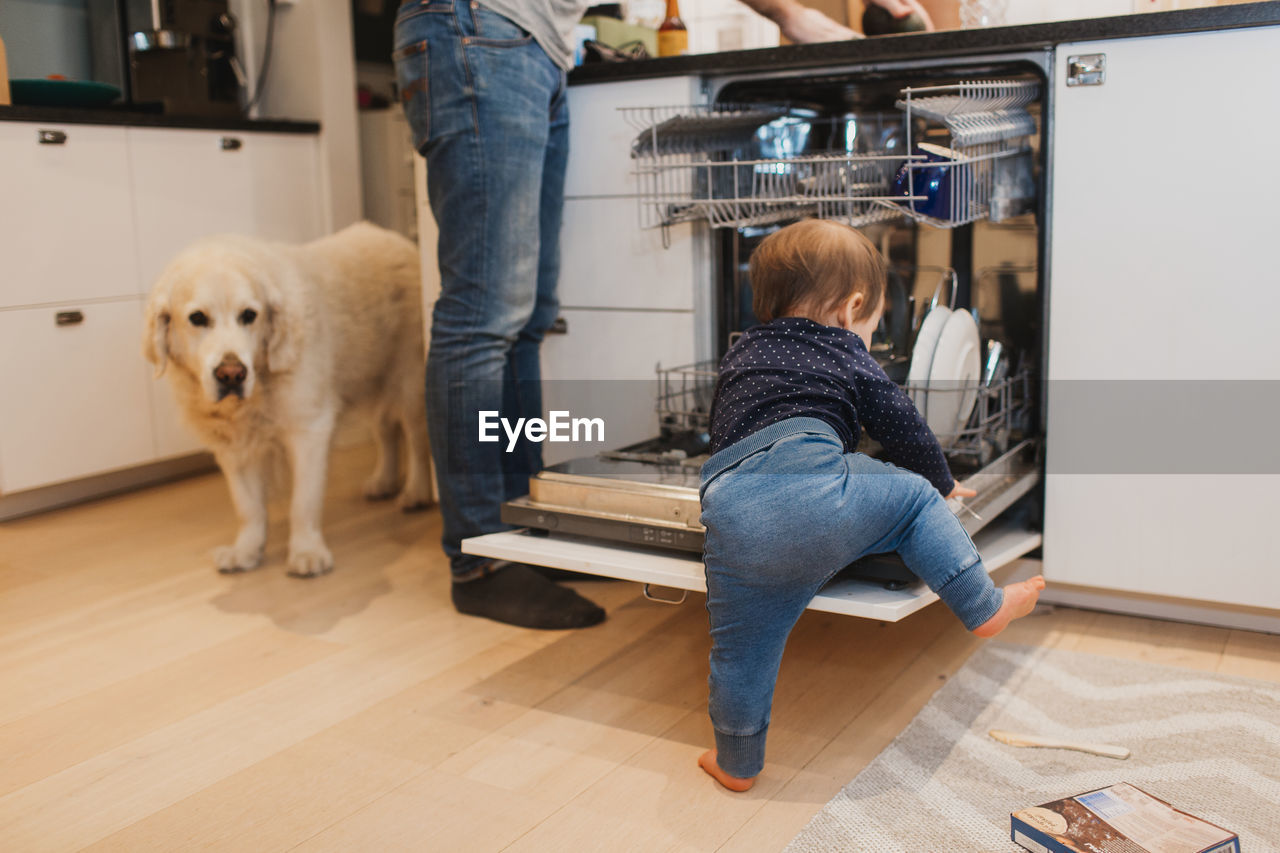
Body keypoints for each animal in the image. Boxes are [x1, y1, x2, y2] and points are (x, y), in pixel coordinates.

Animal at [142, 222, 427, 573]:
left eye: (249, 315)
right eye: (197, 318)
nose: (231, 373)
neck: (259, 386)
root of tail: (392, 236)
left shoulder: (309, 430)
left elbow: (302, 502)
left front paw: (306, 552)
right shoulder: (233, 447)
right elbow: (248, 507)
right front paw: (246, 551)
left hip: (408, 384)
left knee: (417, 440)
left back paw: (417, 491)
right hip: (370, 378)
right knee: (386, 431)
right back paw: (384, 481)